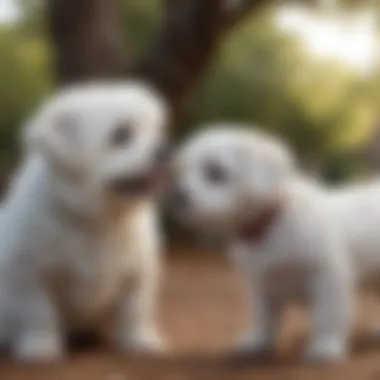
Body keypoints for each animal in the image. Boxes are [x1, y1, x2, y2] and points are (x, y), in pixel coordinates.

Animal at [0, 82, 168, 362]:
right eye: (122, 135)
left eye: (156, 131)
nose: (165, 149)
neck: (98, 221)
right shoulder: (28, 275)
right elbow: (38, 312)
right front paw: (41, 346)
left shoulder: (138, 273)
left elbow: (135, 310)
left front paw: (140, 341)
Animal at [169, 126, 356, 364]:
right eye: (181, 172)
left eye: (216, 172)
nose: (176, 196)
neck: (269, 227)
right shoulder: (262, 285)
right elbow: (263, 318)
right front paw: (258, 343)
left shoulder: (329, 279)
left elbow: (328, 316)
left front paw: (326, 346)